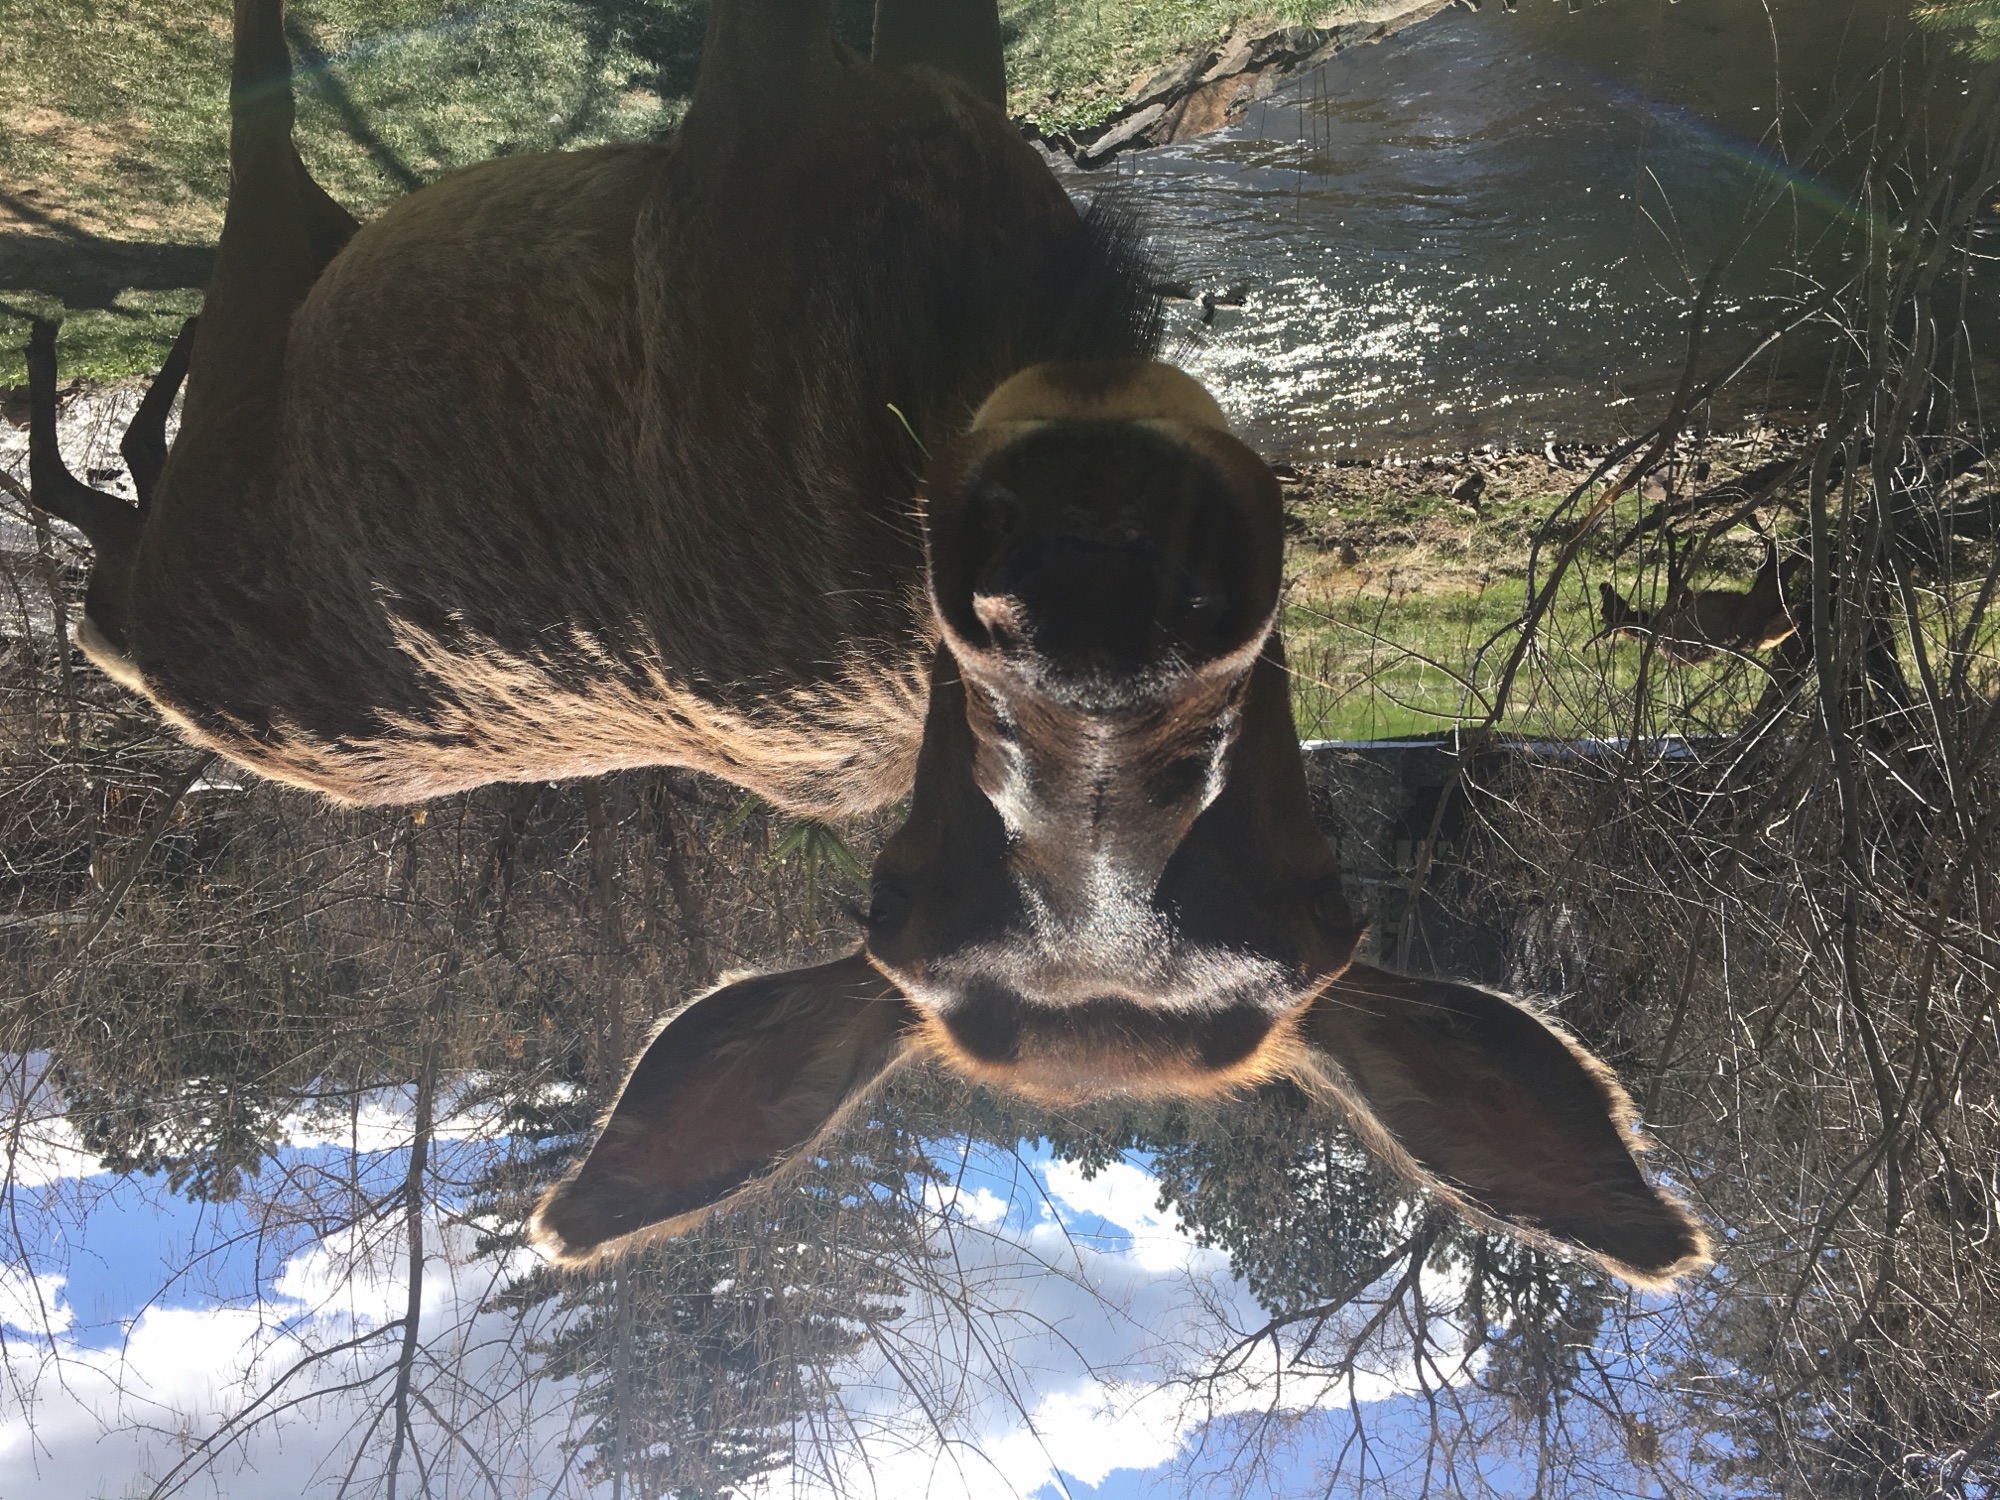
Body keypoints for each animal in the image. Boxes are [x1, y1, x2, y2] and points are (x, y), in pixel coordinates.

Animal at [23, 0, 1708, 1286]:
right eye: (903, 913)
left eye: (1312, 914)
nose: (1090, 598)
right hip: (247, 370)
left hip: (236, 413)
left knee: (142, 436)